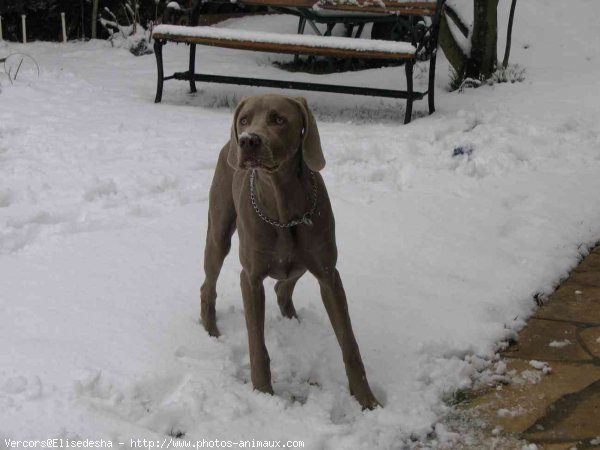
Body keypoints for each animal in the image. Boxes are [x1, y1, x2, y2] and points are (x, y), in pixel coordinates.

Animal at [200, 93, 380, 410]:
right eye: (244, 119)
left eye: (279, 119)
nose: (247, 140)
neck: (282, 207)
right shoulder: (250, 278)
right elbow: (256, 344)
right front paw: (263, 394)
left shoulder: (328, 273)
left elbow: (349, 344)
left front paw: (366, 400)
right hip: (219, 234)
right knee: (208, 285)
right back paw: (211, 331)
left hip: (301, 261)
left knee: (283, 286)